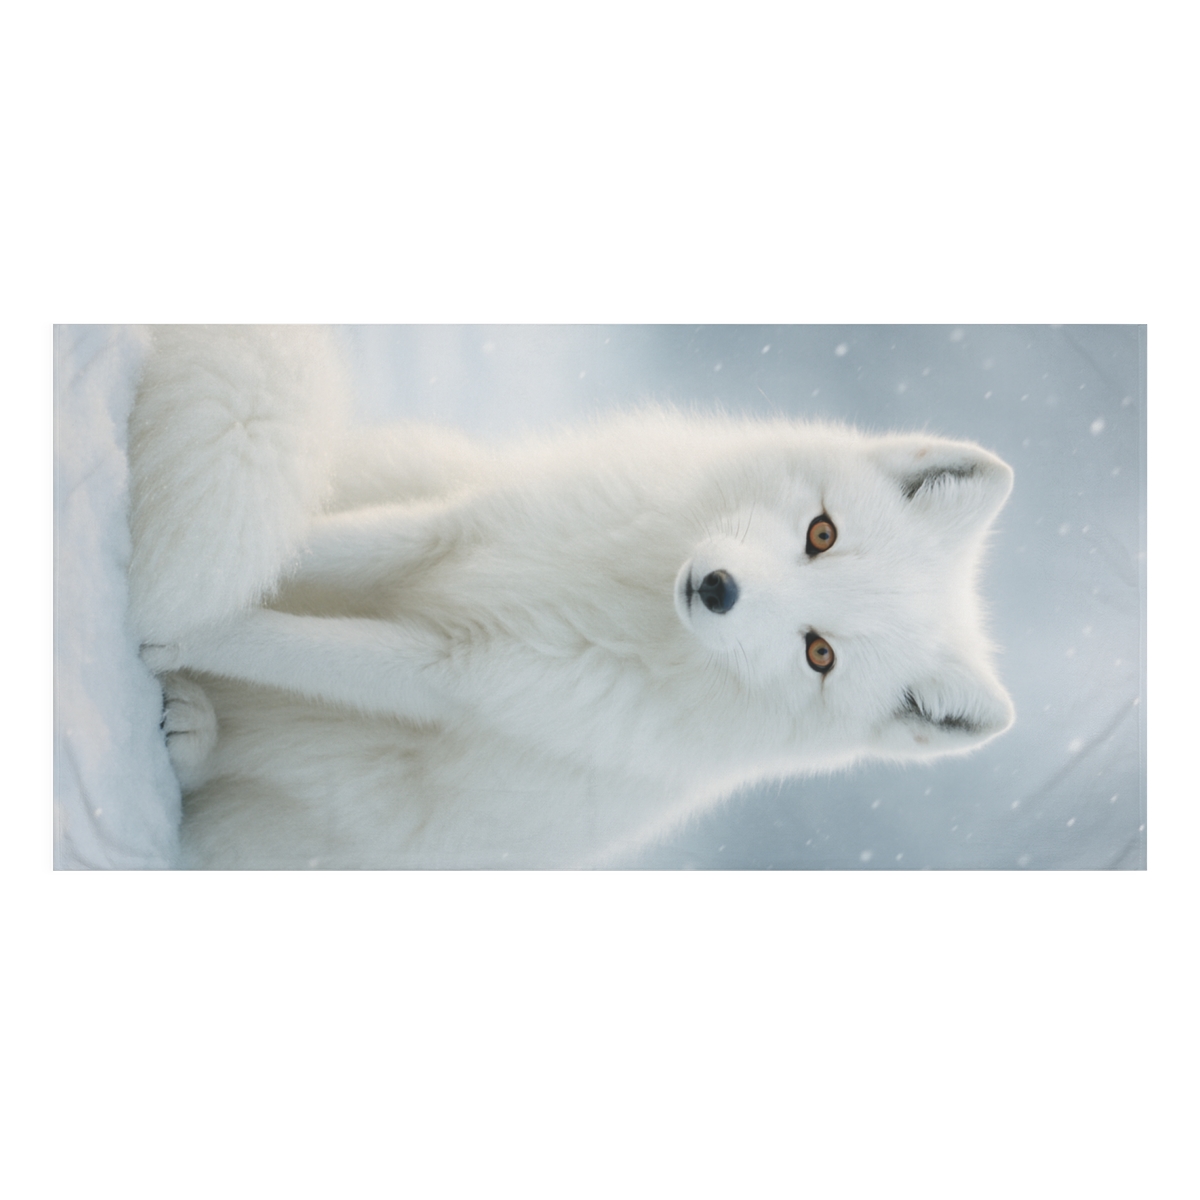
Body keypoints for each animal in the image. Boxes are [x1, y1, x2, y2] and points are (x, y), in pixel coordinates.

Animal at [129, 325, 1015, 868]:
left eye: (819, 654)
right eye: (821, 533)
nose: (716, 587)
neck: (620, 590)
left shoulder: (458, 675)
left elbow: (280, 643)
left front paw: (170, 627)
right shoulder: (455, 529)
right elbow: (309, 549)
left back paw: (190, 724)